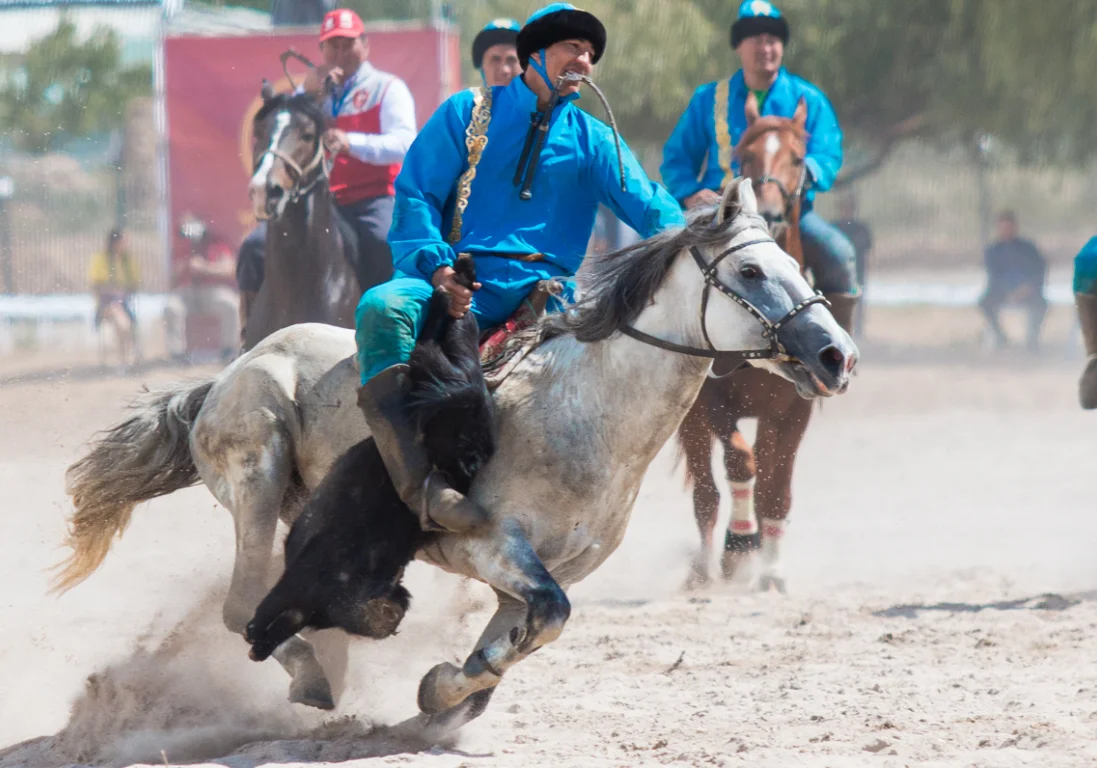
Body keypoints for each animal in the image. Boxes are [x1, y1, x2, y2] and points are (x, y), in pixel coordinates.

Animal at [671, 93, 851, 592]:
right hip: (691, 422)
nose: (769, 214)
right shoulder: (711, 404)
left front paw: (771, 570)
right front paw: (738, 546)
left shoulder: (793, 408)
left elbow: (777, 488)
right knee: (707, 493)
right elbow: (740, 464)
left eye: (797, 157)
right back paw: (705, 568)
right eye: (745, 155)